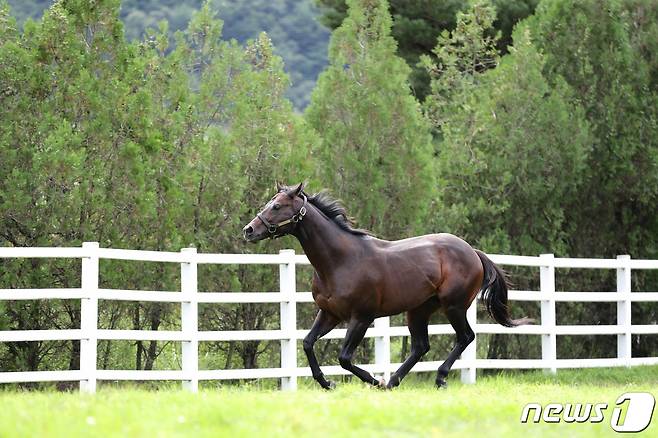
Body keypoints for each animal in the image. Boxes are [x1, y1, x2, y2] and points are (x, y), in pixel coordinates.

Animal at [241, 183, 528, 388]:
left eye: (277, 206)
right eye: (269, 203)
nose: (248, 230)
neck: (340, 260)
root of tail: (473, 252)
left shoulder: (361, 317)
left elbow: (344, 358)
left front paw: (373, 379)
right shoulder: (330, 313)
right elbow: (308, 343)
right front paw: (327, 382)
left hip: (454, 306)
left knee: (465, 337)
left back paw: (437, 378)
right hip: (419, 310)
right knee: (421, 346)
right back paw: (393, 381)